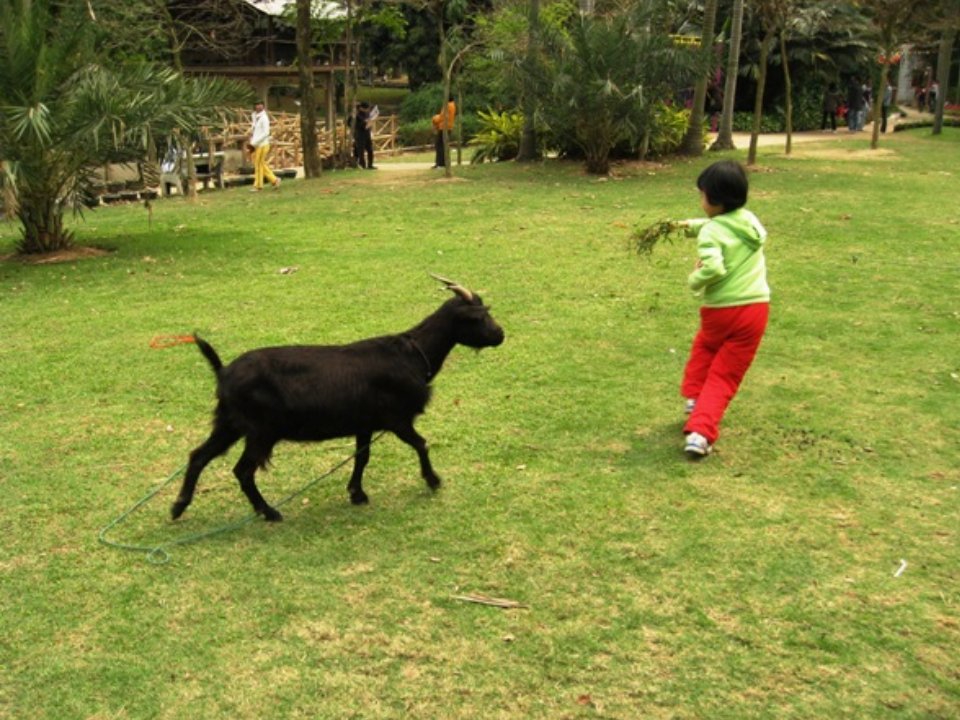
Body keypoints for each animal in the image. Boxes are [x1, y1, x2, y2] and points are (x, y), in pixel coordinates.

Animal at [172, 278, 506, 524]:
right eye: (480, 316)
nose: (500, 334)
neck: (412, 353)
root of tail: (223, 370)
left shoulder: (365, 422)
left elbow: (362, 456)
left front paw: (357, 493)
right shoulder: (396, 419)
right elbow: (421, 444)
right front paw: (433, 480)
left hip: (229, 422)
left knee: (198, 456)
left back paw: (178, 506)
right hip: (260, 430)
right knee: (242, 471)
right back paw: (269, 512)